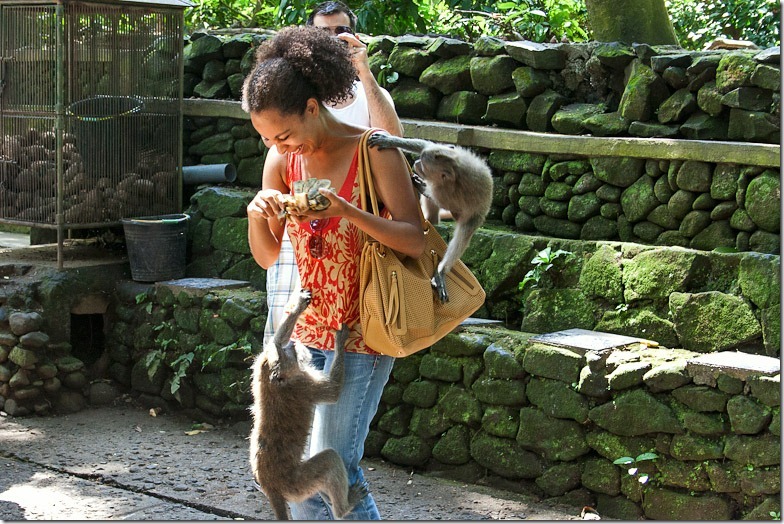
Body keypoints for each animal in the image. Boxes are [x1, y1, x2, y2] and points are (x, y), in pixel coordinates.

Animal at [251, 290, 362, 520]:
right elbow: (333, 392)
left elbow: (275, 340)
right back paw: (344, 508)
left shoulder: (262, 367)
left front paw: (298, 306)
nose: (294, 345)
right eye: (291, 354)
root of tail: (270, 486)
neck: (276, 381)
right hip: (297, 483)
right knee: (329, 460)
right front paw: (339, 342)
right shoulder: (304, 385)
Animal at [368, 131, 490, 302]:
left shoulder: (442, 192)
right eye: (422, 158)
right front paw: (390, 140)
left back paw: (441, 270)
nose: (417, 162)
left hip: (475, 214)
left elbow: (436, 196)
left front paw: (421, 185)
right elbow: (426, 145)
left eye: (424, 167)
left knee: (464, 231)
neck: (456, 173)